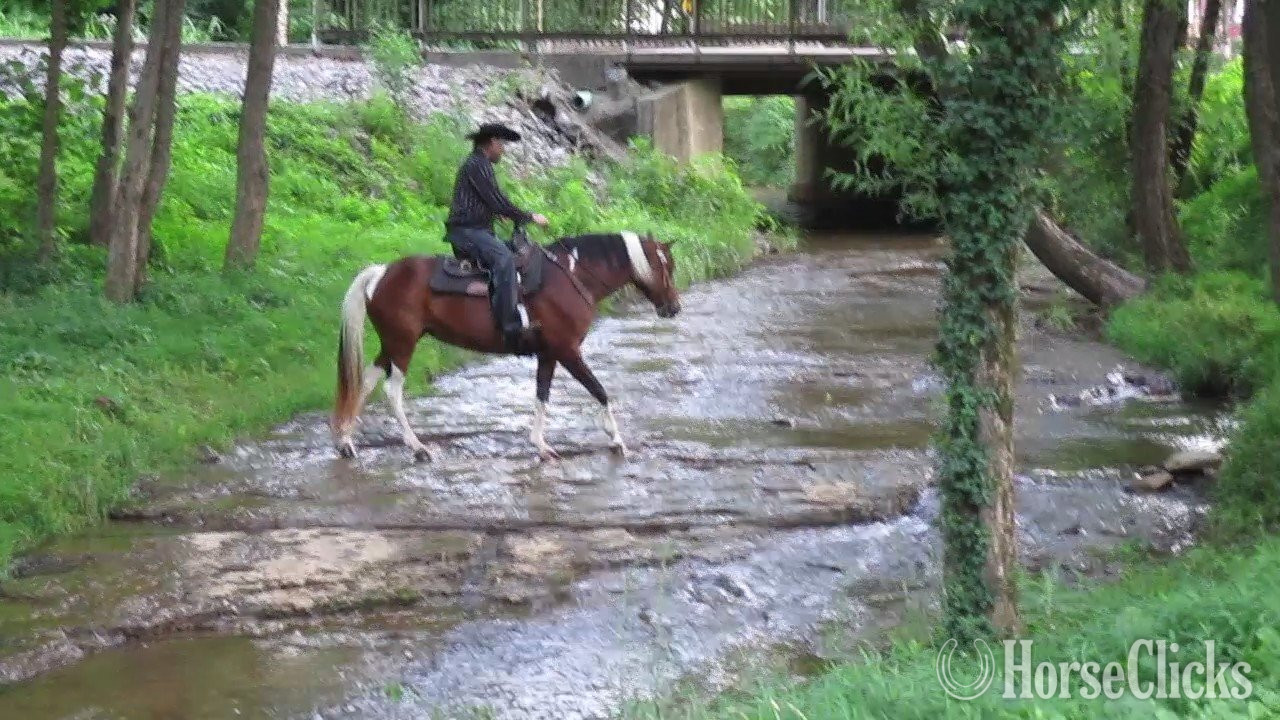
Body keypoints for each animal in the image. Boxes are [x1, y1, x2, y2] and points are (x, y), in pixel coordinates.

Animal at [331, 230, 682, 462]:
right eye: (666, 266)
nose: (674, 308)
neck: (572, 277)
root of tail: (381, 273)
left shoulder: (549, 355)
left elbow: (542, 395)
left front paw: (541, 445)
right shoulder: (568, 351)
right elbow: (599, 391)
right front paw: (617, 440)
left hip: (391, 343)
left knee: (364, 382)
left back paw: (346, 441)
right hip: (403, 344)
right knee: (392, 392)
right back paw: (418, 448)